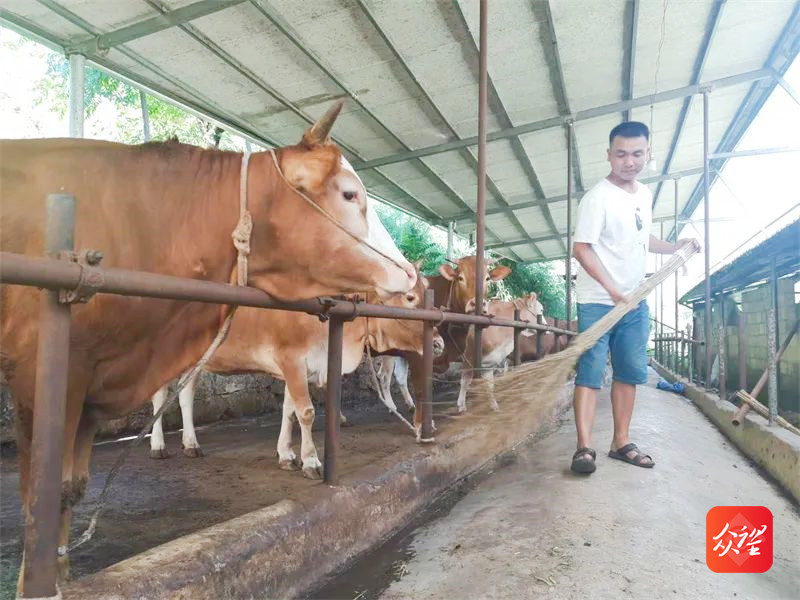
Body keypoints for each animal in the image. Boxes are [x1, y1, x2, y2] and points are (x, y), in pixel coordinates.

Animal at [3, 103, 418, 580]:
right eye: (350, 194)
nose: (409, 273)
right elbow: (306, 410)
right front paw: (311, 461)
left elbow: (289, 410)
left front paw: (287, 454)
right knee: (164, 395)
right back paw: (160, 445)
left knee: (183, 395)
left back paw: (190, 443)